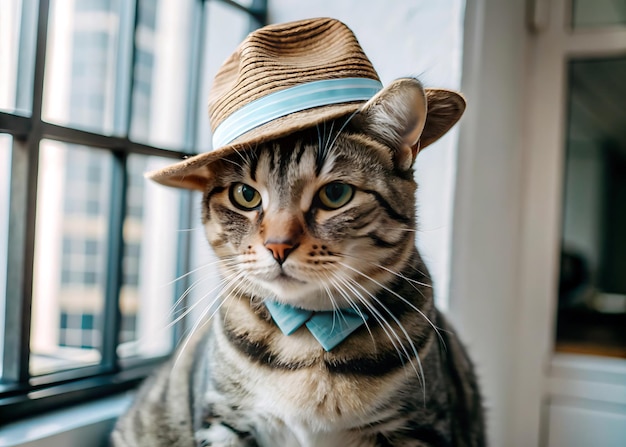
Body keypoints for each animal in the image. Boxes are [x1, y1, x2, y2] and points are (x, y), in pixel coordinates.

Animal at [109, 77, 486, 447]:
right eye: (245, 195)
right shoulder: (223, 422)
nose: (278, 246)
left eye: (335, 194)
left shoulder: (417, 428)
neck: (306, 337)